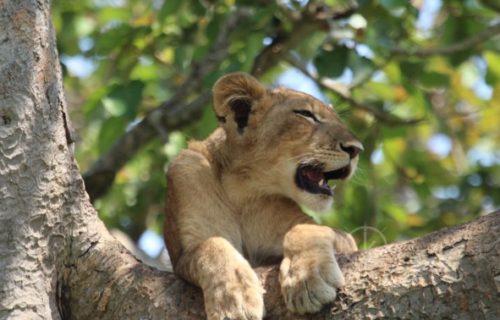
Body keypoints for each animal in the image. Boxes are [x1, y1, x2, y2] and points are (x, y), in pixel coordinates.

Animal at [164, 72, 364, 320]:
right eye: (306, 114)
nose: (357, 149)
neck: (242, 189)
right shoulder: (183, 252)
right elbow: (212, 246)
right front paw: (234, 300)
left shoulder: (344, 240)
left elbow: (306, 229)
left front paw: (308, 279)